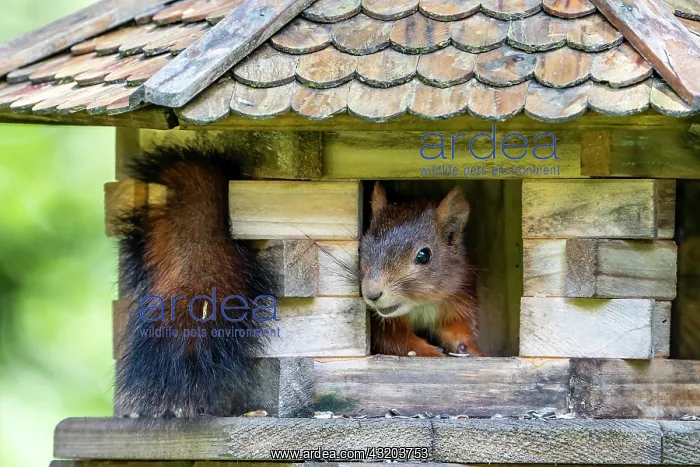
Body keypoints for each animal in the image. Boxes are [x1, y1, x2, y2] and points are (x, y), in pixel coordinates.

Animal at [360, 182, 483, 358]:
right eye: (361, 247)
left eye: (424, 255)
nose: (371, 293)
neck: (421, 305)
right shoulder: (382, 325)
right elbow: (396, 341)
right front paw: (432, 352)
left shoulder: (459, 300)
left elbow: (457, 329)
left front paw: (470, 349)